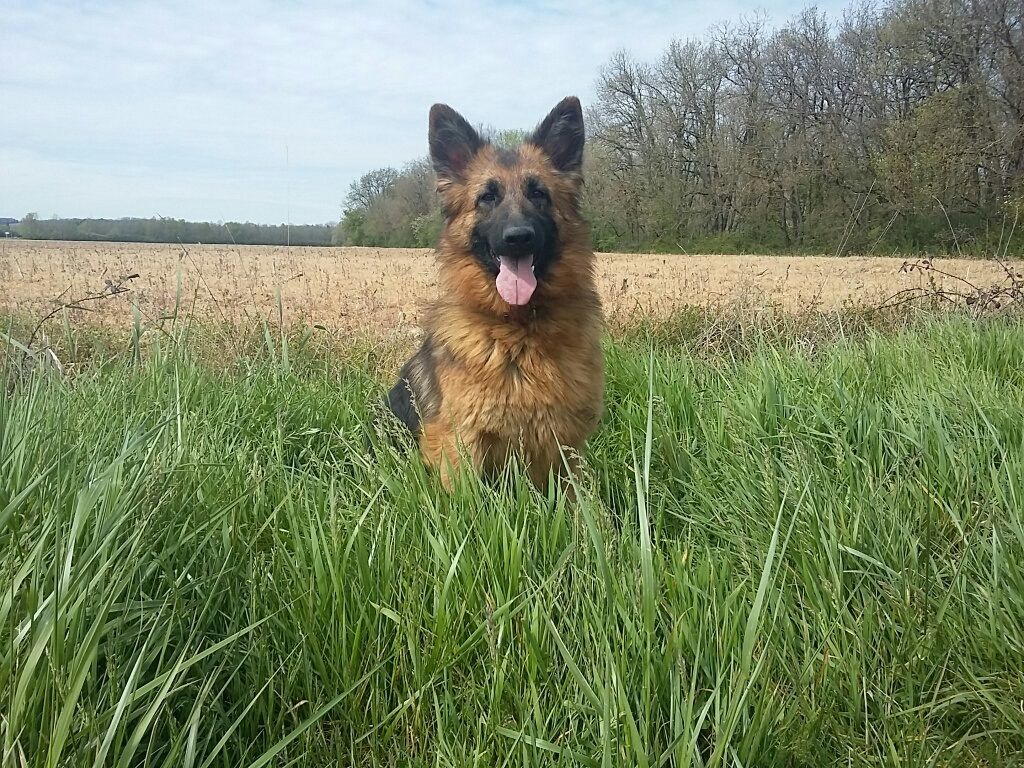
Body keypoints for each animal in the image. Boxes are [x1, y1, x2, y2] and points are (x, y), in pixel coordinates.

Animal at [387, 96, 602, 493]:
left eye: (538, 193)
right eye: (487, 197)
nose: (518, 238)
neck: (518, 331)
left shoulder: (566, 450)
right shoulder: (462, 444)